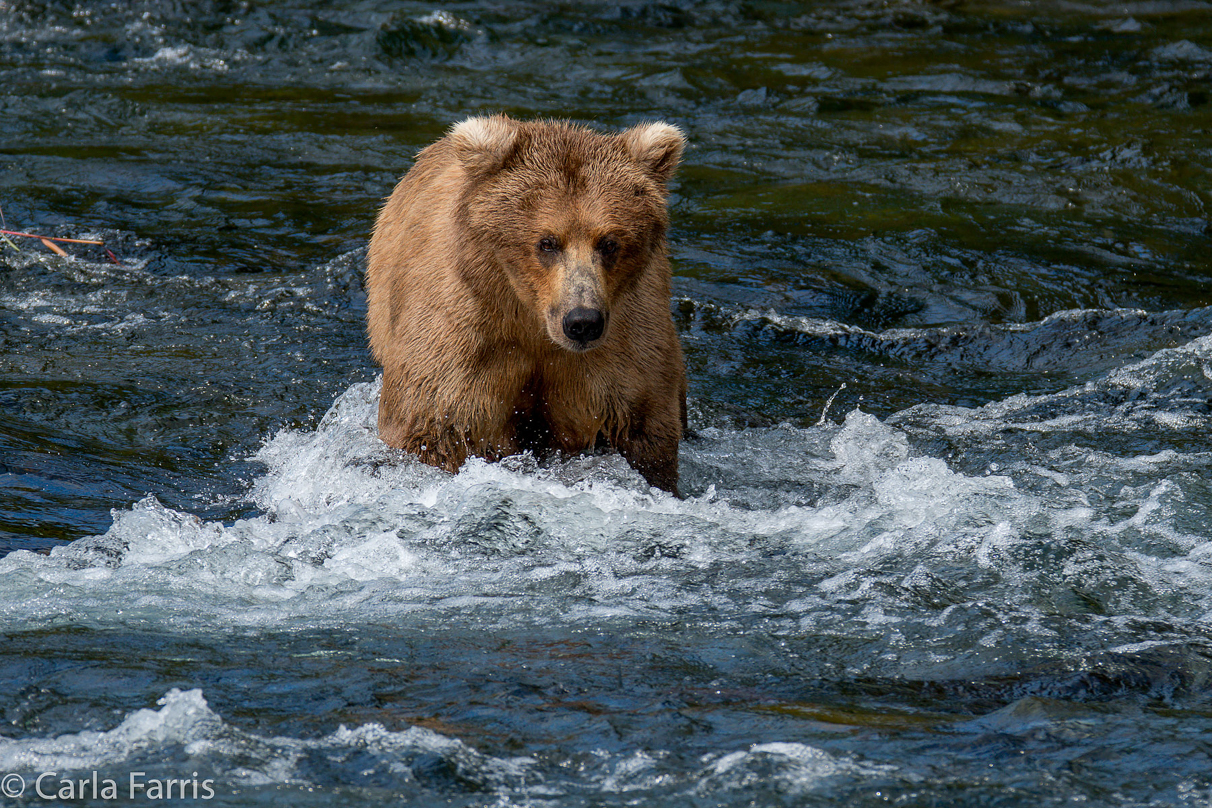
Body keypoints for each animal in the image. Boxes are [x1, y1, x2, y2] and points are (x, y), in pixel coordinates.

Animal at [363, 113, 688, 494]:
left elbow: (642, 433)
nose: (582, 321)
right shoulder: (464, 337)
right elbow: (433, 428)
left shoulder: (625, 348)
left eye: (609, 242)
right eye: (547, 242)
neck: (533, 325)